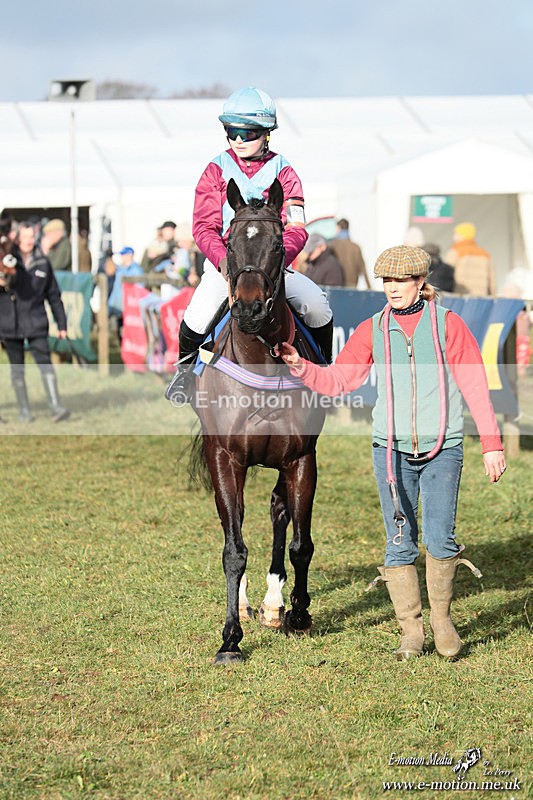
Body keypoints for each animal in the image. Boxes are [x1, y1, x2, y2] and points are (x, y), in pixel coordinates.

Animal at [190, 178, 326, 664]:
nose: (249, 308)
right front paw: (230, 637)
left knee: (277, 511)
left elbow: (300, 543)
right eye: (229, 242)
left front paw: (298, 614)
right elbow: (233, 548)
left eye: (279, 243)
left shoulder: (301, 458)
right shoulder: (225, 458)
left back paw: (272, 603)